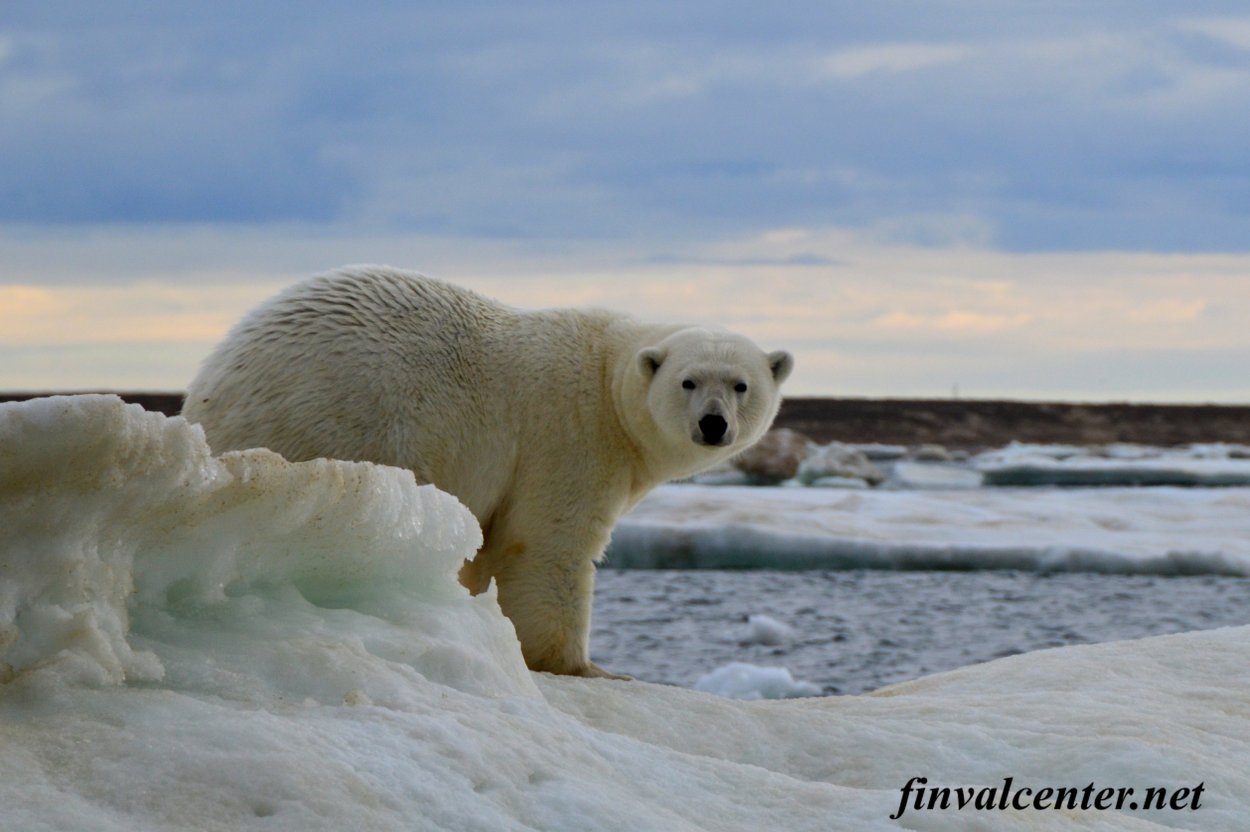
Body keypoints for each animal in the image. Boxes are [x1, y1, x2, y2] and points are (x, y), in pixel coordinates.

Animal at [185, 268, 790, 679]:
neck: (608, 376)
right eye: (689, 381)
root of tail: (211, 394)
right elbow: (546, 545)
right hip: (343, 423)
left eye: (741, 384)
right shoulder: (567, 437)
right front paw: (583, 665)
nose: (713, 424)